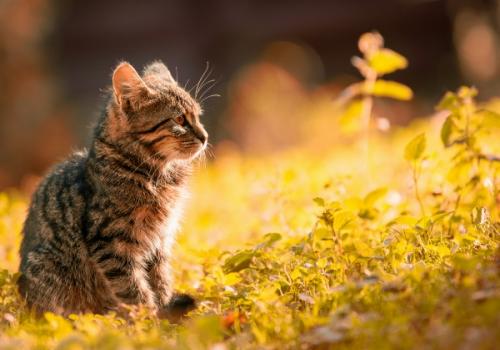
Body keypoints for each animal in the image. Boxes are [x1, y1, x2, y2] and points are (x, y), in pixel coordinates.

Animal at [15, 60, 207, 318]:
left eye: (198, 116)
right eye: (179, 120)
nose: (205, 137)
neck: (158, 175)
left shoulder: (160, 241)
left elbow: (160, 282)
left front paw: (164, 312)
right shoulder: (111, 244)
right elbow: (134, 290)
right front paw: (148, 321)